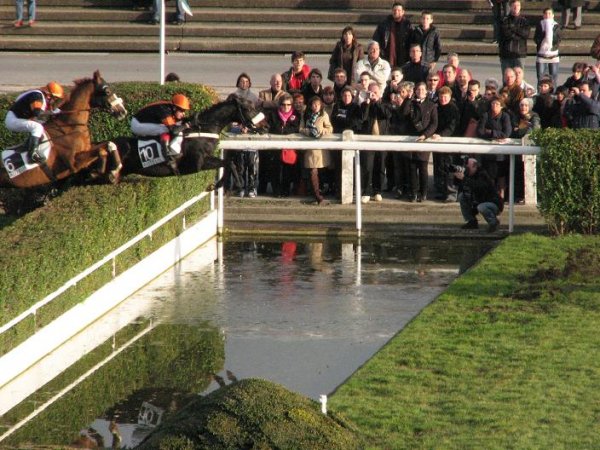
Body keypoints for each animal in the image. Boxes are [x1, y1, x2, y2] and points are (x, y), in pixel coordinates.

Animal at [106, 94, 264, 187]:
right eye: (248, 108)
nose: (265, 125)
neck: (203, 130)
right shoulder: (197, 164)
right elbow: (229, 163)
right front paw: (235, 183)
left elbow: (228, 163)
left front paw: (217, 185)